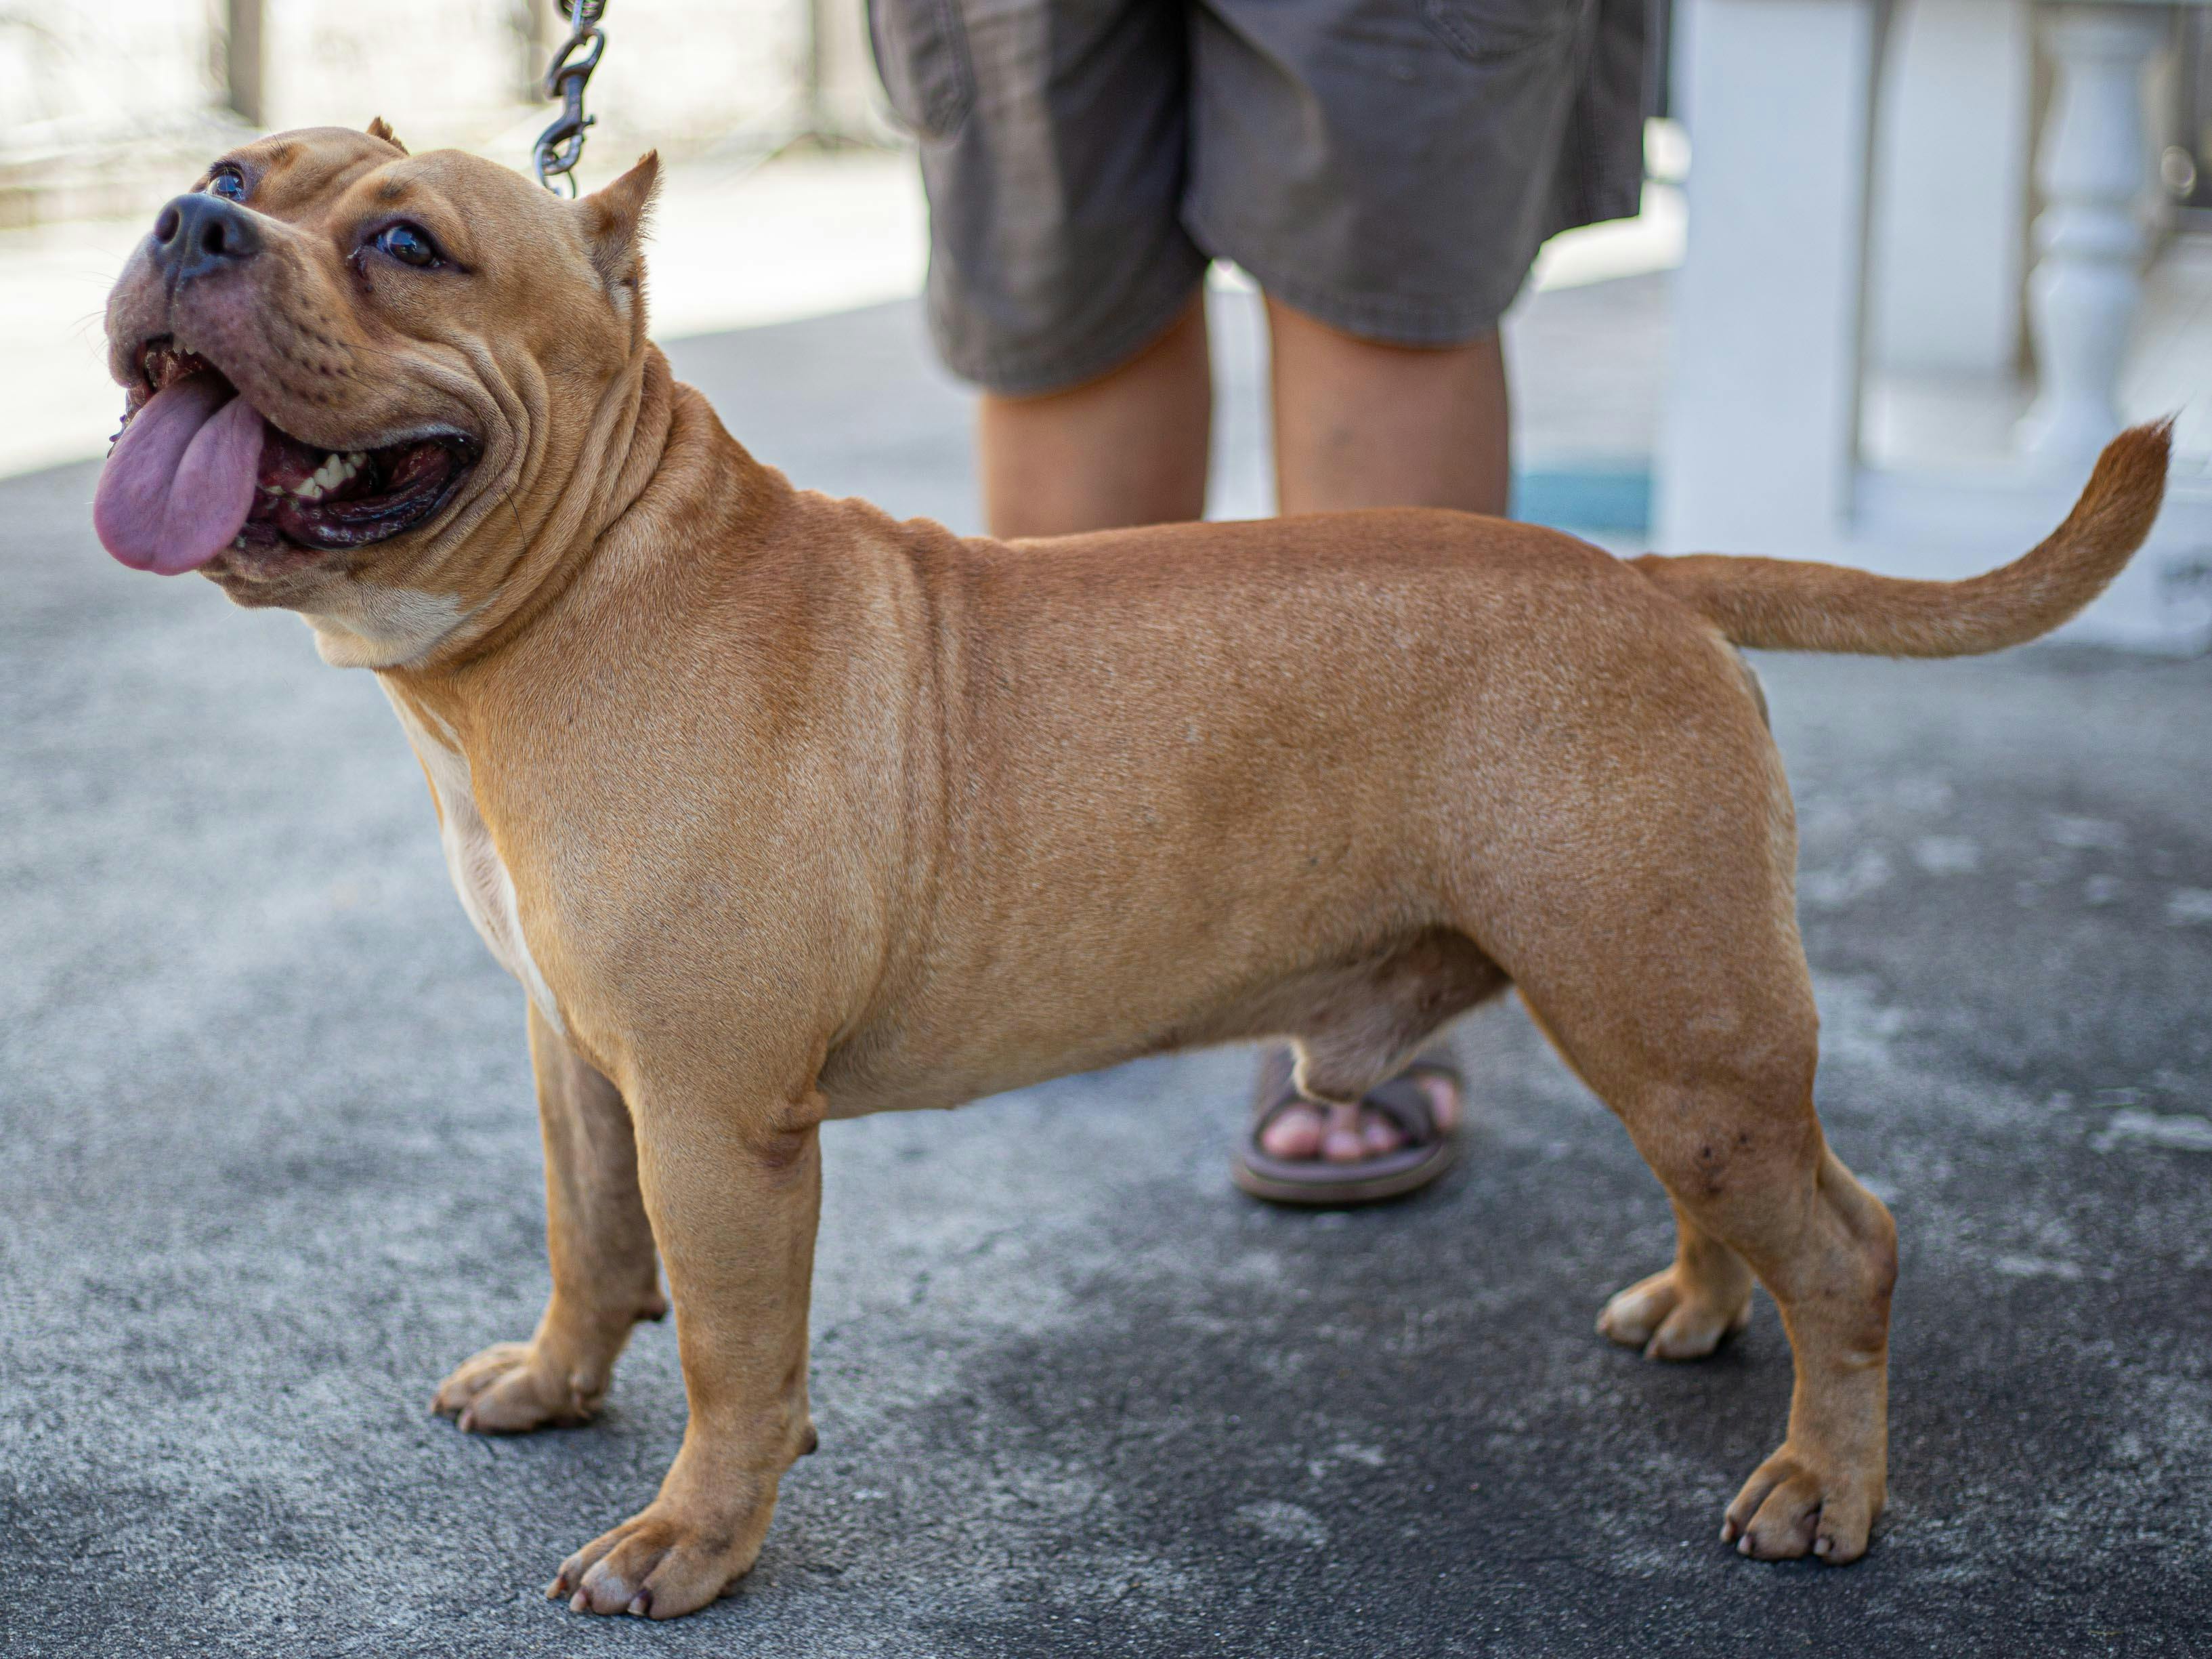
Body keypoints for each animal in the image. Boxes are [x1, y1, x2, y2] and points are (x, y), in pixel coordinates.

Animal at [99, 126, 2158, 1628]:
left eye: (407, 243)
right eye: (230, 168)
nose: (188, 220)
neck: (588, 576)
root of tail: (1647, 578)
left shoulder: (716, 1111)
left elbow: (737, 1355)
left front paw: (691, 1535)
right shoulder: (580, 1058)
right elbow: (590, 1245)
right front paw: (553, 1380)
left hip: (1672, 1008)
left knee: (1853, 1238)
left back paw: (1823, 1483)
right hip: (1659, 1015)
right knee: (1745, 1198)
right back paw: (1700, 1308)